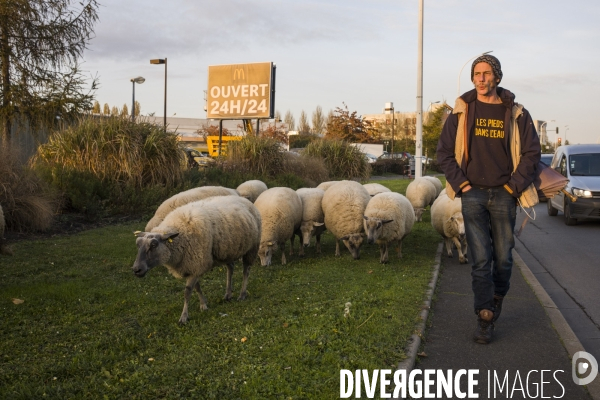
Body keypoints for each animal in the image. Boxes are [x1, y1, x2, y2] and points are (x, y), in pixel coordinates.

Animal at [134, 195, 260, 324]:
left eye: (154, 245)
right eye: (138, 244)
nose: (136, 269)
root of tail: (240, 197)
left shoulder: (196, 264)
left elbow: (187, 292)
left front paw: (184, 317)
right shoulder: (191, 266)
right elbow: (197, 287)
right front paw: (203, 305)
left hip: (252, 247)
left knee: (246, 271)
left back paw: (242, 294)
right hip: (227, 251)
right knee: (230, 268)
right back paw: (228, 295)